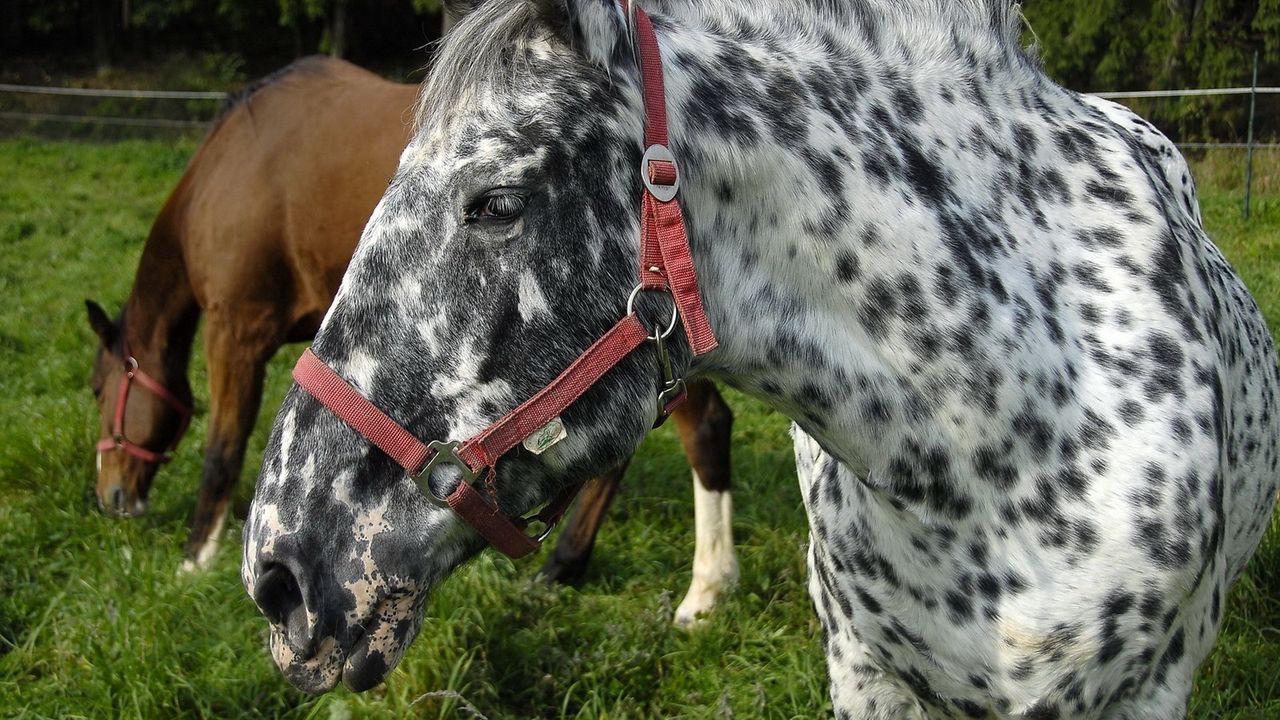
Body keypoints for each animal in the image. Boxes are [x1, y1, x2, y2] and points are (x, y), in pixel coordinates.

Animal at [85, 53, 737, 620]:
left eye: (96, 389)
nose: (111, 498)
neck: (232, 164)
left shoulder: (236, 330)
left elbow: (221, 451)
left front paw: (195, 558)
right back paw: (572, 567)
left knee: (703, 426)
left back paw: (700, 591)